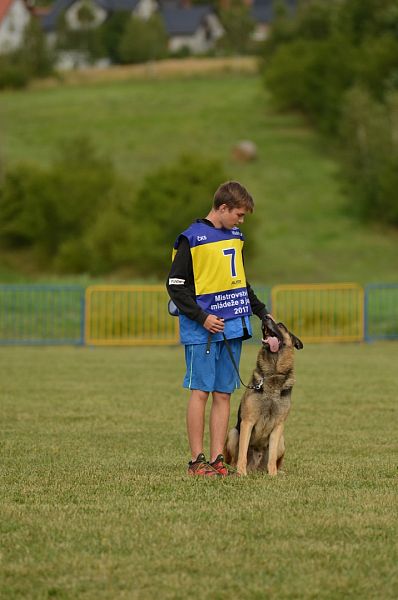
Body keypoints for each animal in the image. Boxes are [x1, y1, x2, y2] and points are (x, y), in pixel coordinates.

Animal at [224, 316, 304, 476]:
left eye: (281, 325)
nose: (265, 317)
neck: (273, 372)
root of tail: (256, 468)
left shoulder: (278, 426)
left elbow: (272, 458)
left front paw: (273, 475)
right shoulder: (247, 422)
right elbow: (242, 453)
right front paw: (241, 474)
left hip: (282, 441)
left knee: (275, 461)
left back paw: (277, 472)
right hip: (233, 433)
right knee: (234, 459)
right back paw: (234, 470)